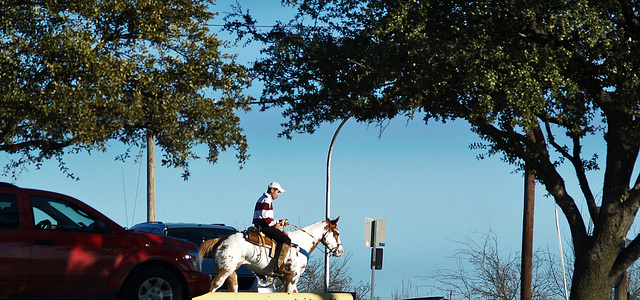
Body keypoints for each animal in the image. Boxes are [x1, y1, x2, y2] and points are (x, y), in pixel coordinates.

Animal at [200, 218, 342, 292]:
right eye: (337, 233)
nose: (340, 251)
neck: (300, 243)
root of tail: (220, 240)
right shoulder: (293, 276)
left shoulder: (285, 277)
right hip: (223, 271)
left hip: (232, 273)